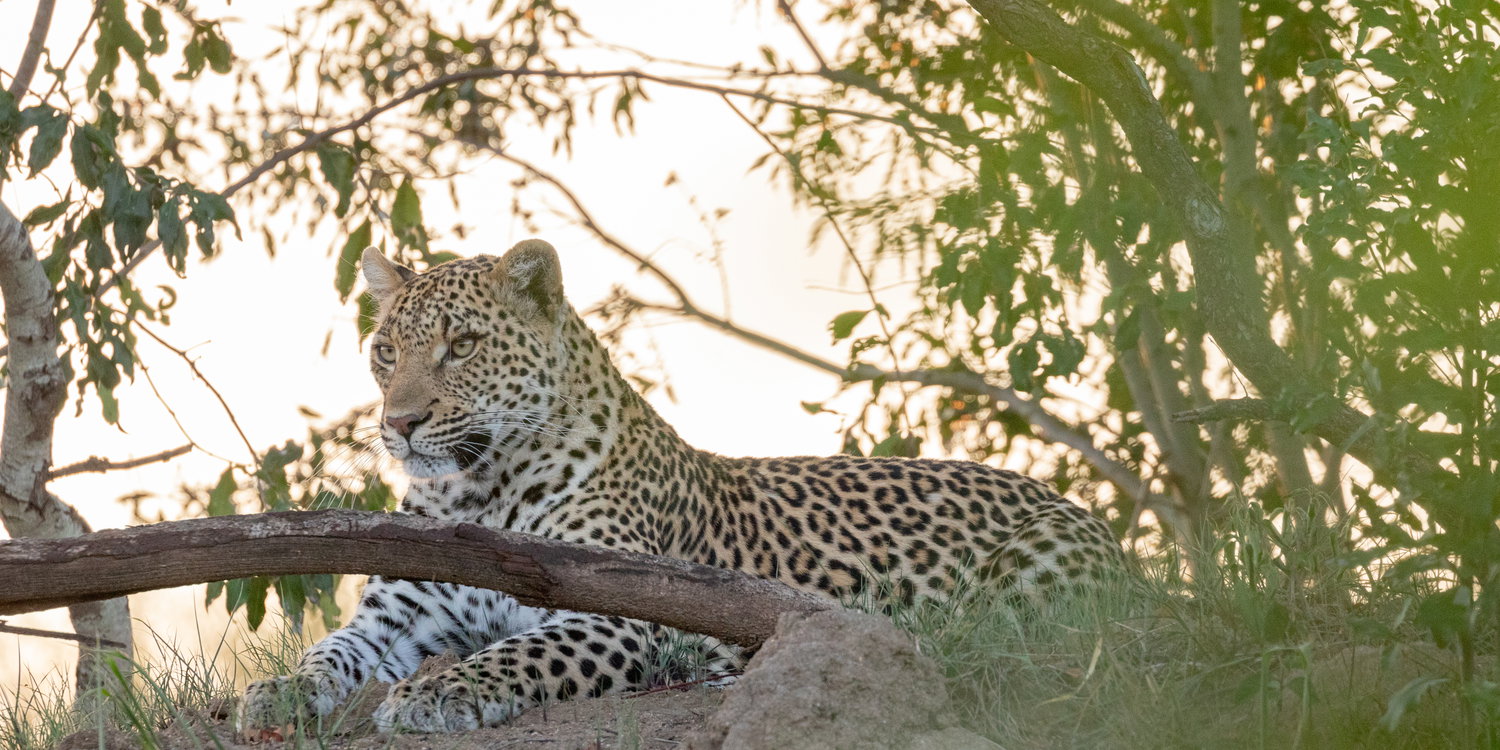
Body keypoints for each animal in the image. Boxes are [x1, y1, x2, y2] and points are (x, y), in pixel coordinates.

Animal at [237, 239, 1124, 735]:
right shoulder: (399, 618)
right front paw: (278, 692)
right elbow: (331, 652)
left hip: (1028, 584)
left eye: (463, 345)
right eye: (385, 351)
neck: (475, 490)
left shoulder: (614, 611)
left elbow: (517, 651)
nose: (402, 423)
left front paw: (443, 691)